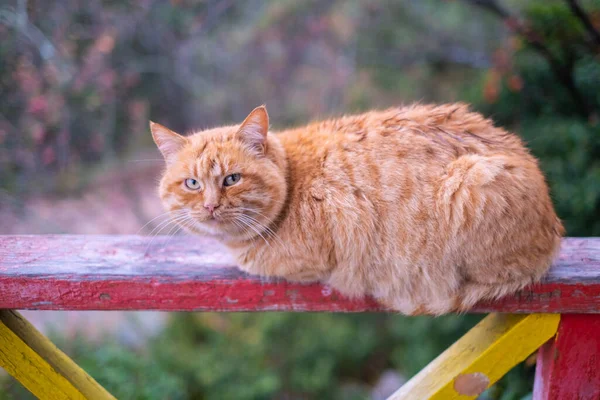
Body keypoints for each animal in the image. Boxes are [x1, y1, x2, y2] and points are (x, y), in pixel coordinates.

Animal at [150, 104, 564, 316]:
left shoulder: (311, 260)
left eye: (232, 179)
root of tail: (553, 230)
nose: (209, 206)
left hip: (470, 182)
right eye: (192, 183)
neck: (293, 177)